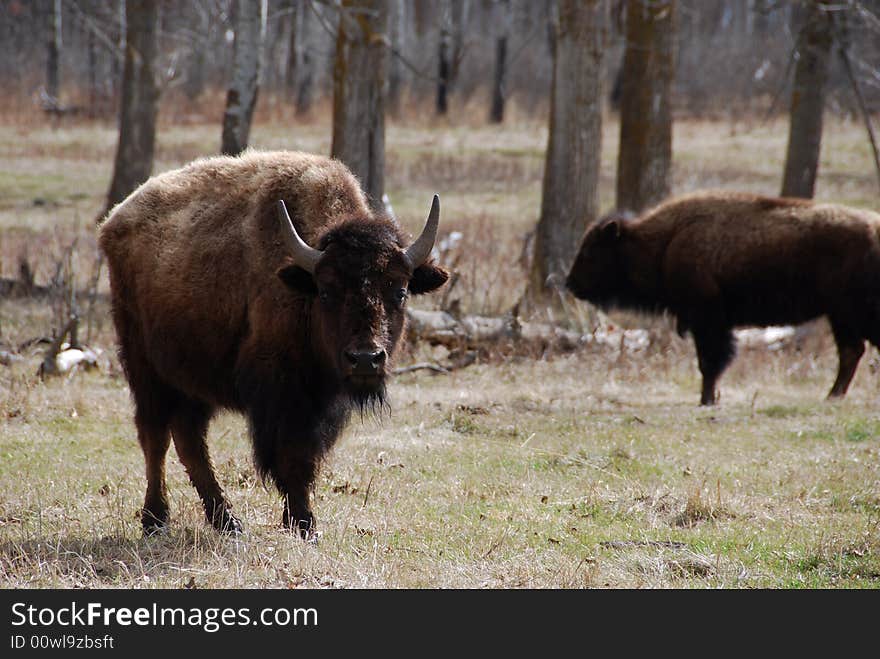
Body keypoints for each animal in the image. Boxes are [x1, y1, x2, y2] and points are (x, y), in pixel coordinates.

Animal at [98, 152, 446, 540]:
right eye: (327, 292)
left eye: (399, 291)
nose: (365, 359)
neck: (302, 289)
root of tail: (114, 220)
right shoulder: (282, 392)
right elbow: (291, 455)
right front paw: (304, 524)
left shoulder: (320, 402)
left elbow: (306, 455)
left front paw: (301, 520)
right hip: (144, 367)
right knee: (155, 438)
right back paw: (156, 520)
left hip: (191, 381)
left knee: (189, 440)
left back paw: (227, 521)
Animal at [568, 191, 880, 404]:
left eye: (590, 253)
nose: (570, 283)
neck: (666, 241)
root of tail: (874, 229)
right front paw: (711, 398)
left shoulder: (707, 319)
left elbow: (709, 361)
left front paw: (707, 400)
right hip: (840, 316)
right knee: (851, 352)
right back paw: (832, 396)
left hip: (851, 313)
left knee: (854, 350)